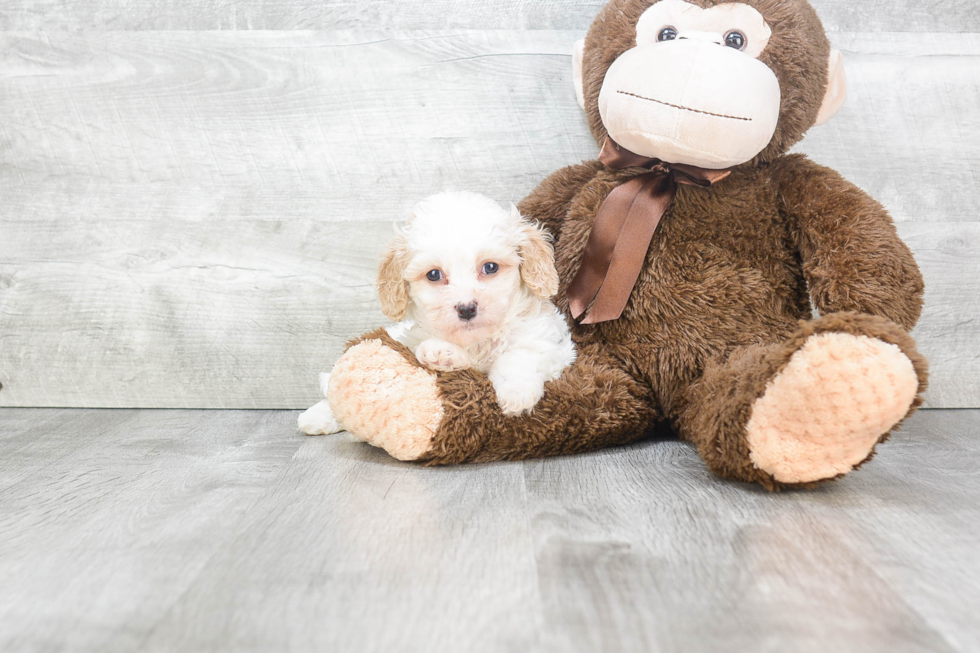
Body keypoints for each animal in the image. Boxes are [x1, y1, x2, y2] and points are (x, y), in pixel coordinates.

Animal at [298, 190, 576, 432]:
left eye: (490, 267)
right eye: (434, 274)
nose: (466, 308)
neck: (476, 342)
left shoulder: (553, 345)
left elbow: (520, 356)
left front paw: (516, 393)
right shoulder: (411, 339)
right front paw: (442, 353)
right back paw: (317, 414)